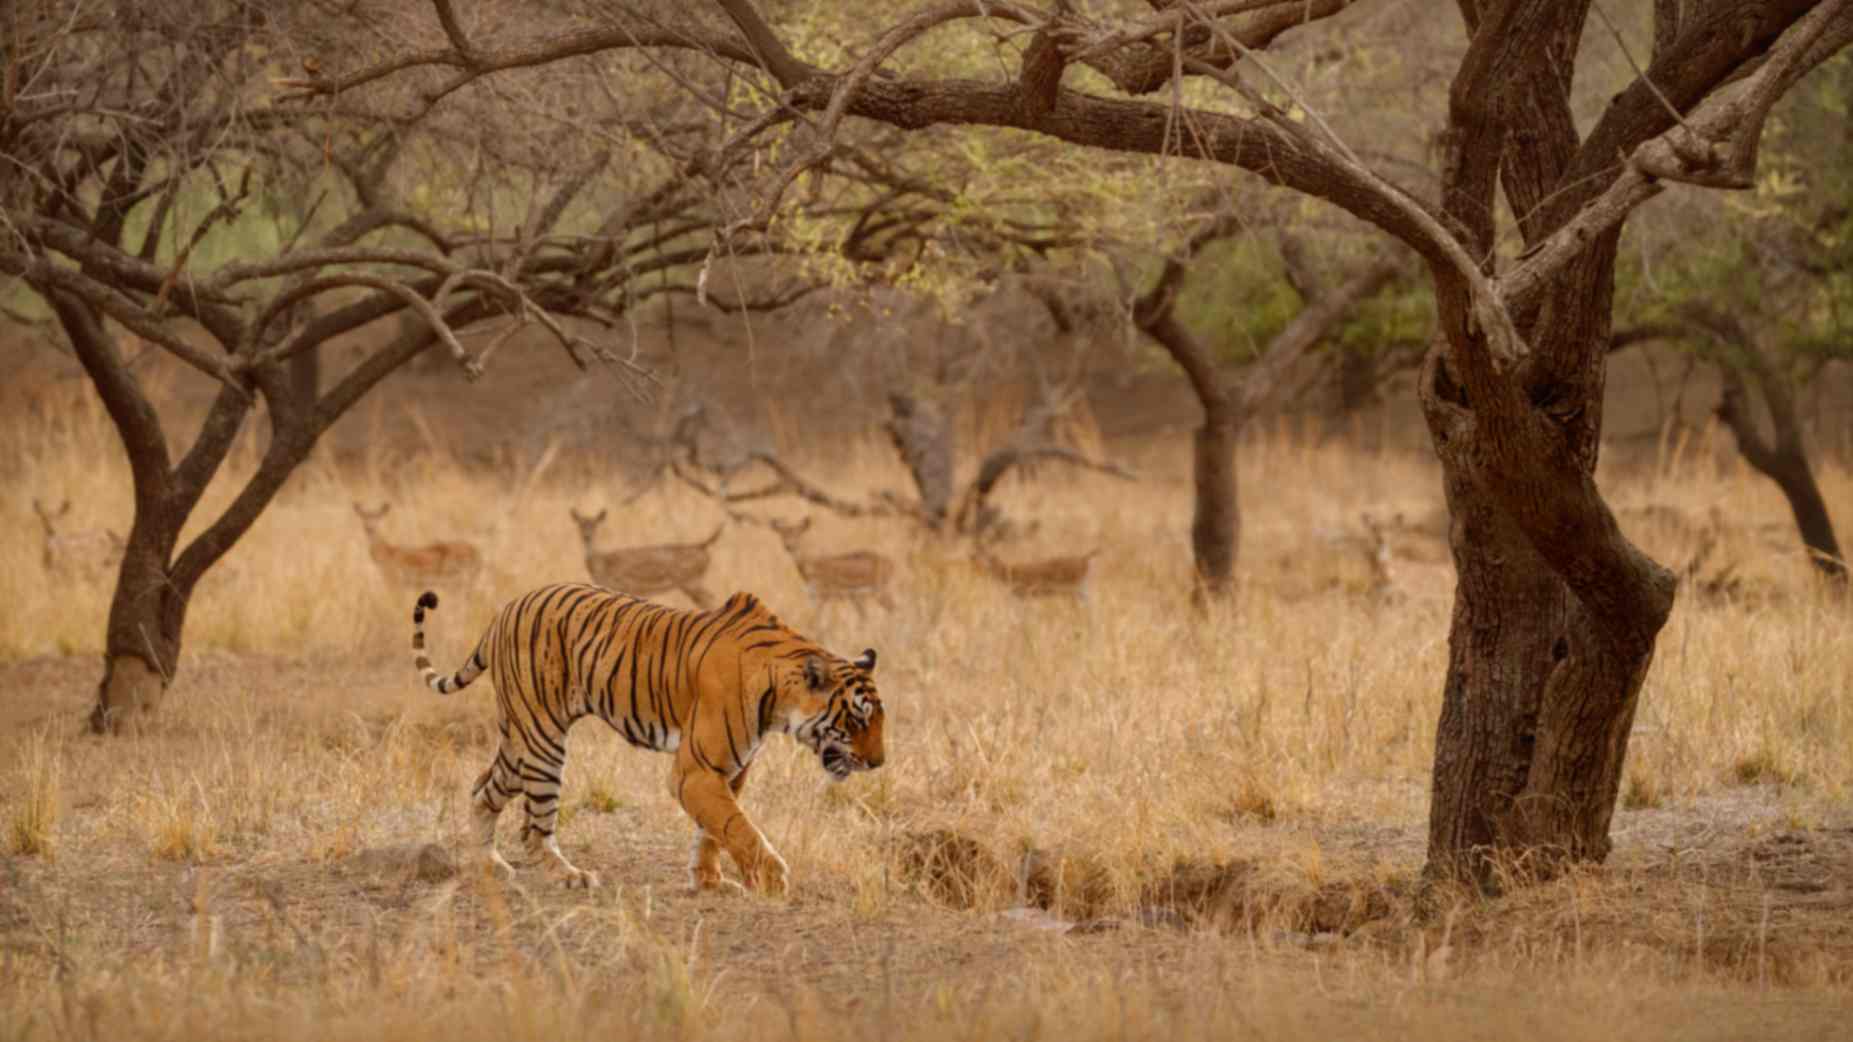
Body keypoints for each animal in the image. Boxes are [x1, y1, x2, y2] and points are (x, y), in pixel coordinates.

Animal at [348, 500, 478, 589]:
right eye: (363, 517)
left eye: (378, 518)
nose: (369, 527)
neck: (386, 552)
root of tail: (476, 553)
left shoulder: (395, 580)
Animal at [411, 578, 882, 889]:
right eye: (857, 720)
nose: (878, 763)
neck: (779, 701)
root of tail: (504, 611)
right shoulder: (696, 770)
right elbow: (737, 824)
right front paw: (771, 878)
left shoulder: (729, 770)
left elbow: (715, 829)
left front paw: (710, 881)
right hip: (543, 740)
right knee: (534, 827)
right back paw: (570, 876)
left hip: (520, 738)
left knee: (482, 789)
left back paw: (488, 864)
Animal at [570, 504, 722, 608]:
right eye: (580, 525)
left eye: (594, 525)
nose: (587, 536)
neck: (602, 564)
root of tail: (702, 546)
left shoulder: (624, 586)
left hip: (692, 582)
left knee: (711, 598)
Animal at [759, 515, 889, 611]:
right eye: (782, 534)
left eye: (798, 534)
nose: (789, 546)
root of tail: (890, 562)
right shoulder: (813, 598)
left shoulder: (824, 598)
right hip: (860, 598)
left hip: (879, 592)